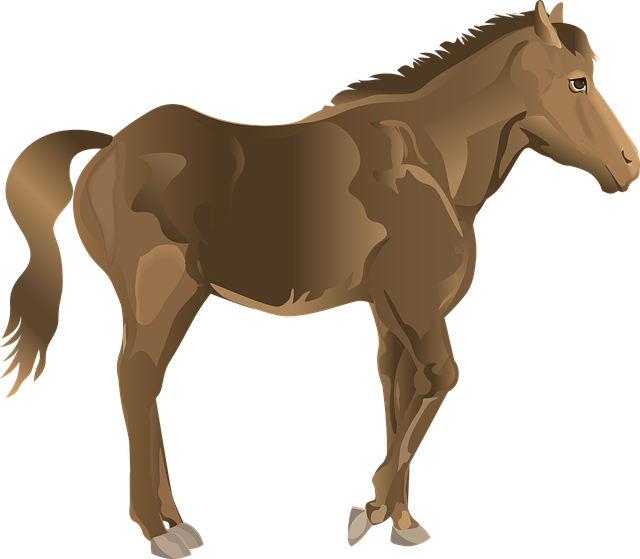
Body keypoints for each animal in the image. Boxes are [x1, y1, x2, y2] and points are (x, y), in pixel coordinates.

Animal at [1, 1, 638, 557]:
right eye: (578, 83)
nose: (627, 168)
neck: (430, 161)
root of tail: (111, 145)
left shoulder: (394, 310)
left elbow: (401, 390)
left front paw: (400, 520)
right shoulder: (415, 305)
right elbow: (439, 380)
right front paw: (366, 514)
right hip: (162, 295)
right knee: (136, 378)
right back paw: (167, 532)